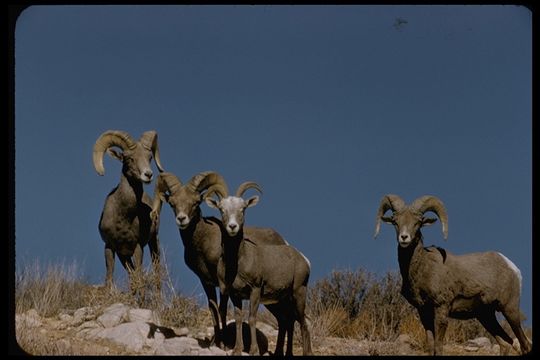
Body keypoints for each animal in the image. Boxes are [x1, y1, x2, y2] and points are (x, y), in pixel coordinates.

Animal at [93, 130, 165, 292]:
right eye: (129, 158)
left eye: (149, 157)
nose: (148, 175)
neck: (123, 217)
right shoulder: (110, 247)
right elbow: (110, 276)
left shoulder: (137, 247)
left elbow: (139, 277)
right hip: (123, 256)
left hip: (153, 242)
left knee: (157, 271)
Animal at [150, 172, 288, 348]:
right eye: (172, 204)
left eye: (195, 202)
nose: (182, 219)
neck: (202, 243)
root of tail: (283, 242)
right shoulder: (206, 281)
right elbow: (213, 309)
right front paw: (215, 342)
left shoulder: (224, 283)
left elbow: (222, 309)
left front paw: (224, 344)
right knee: (284, 319)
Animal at [205, 181, 312, 356]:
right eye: (222, 209)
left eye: (243, 209)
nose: (232, 227)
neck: (237, 263)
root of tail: (304, 259)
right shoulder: (235, 294)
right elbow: (239, 318)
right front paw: (237, 350)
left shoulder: (254, 290)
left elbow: (252, 318)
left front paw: (253, 350)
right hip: (281, 300)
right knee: (287, 321)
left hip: (298, 293)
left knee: (303, 322)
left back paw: (306, 353)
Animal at [376, 194, 532, 354]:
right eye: (395, 222)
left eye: (418, 222)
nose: (404, 237)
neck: (422, 269)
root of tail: (511, 267)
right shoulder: (424, 312)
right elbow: (431, 346)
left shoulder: (441, 309)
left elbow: (438, 347)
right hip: (486, 316)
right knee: (505, 343)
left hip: (509, 310)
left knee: (524, 343)